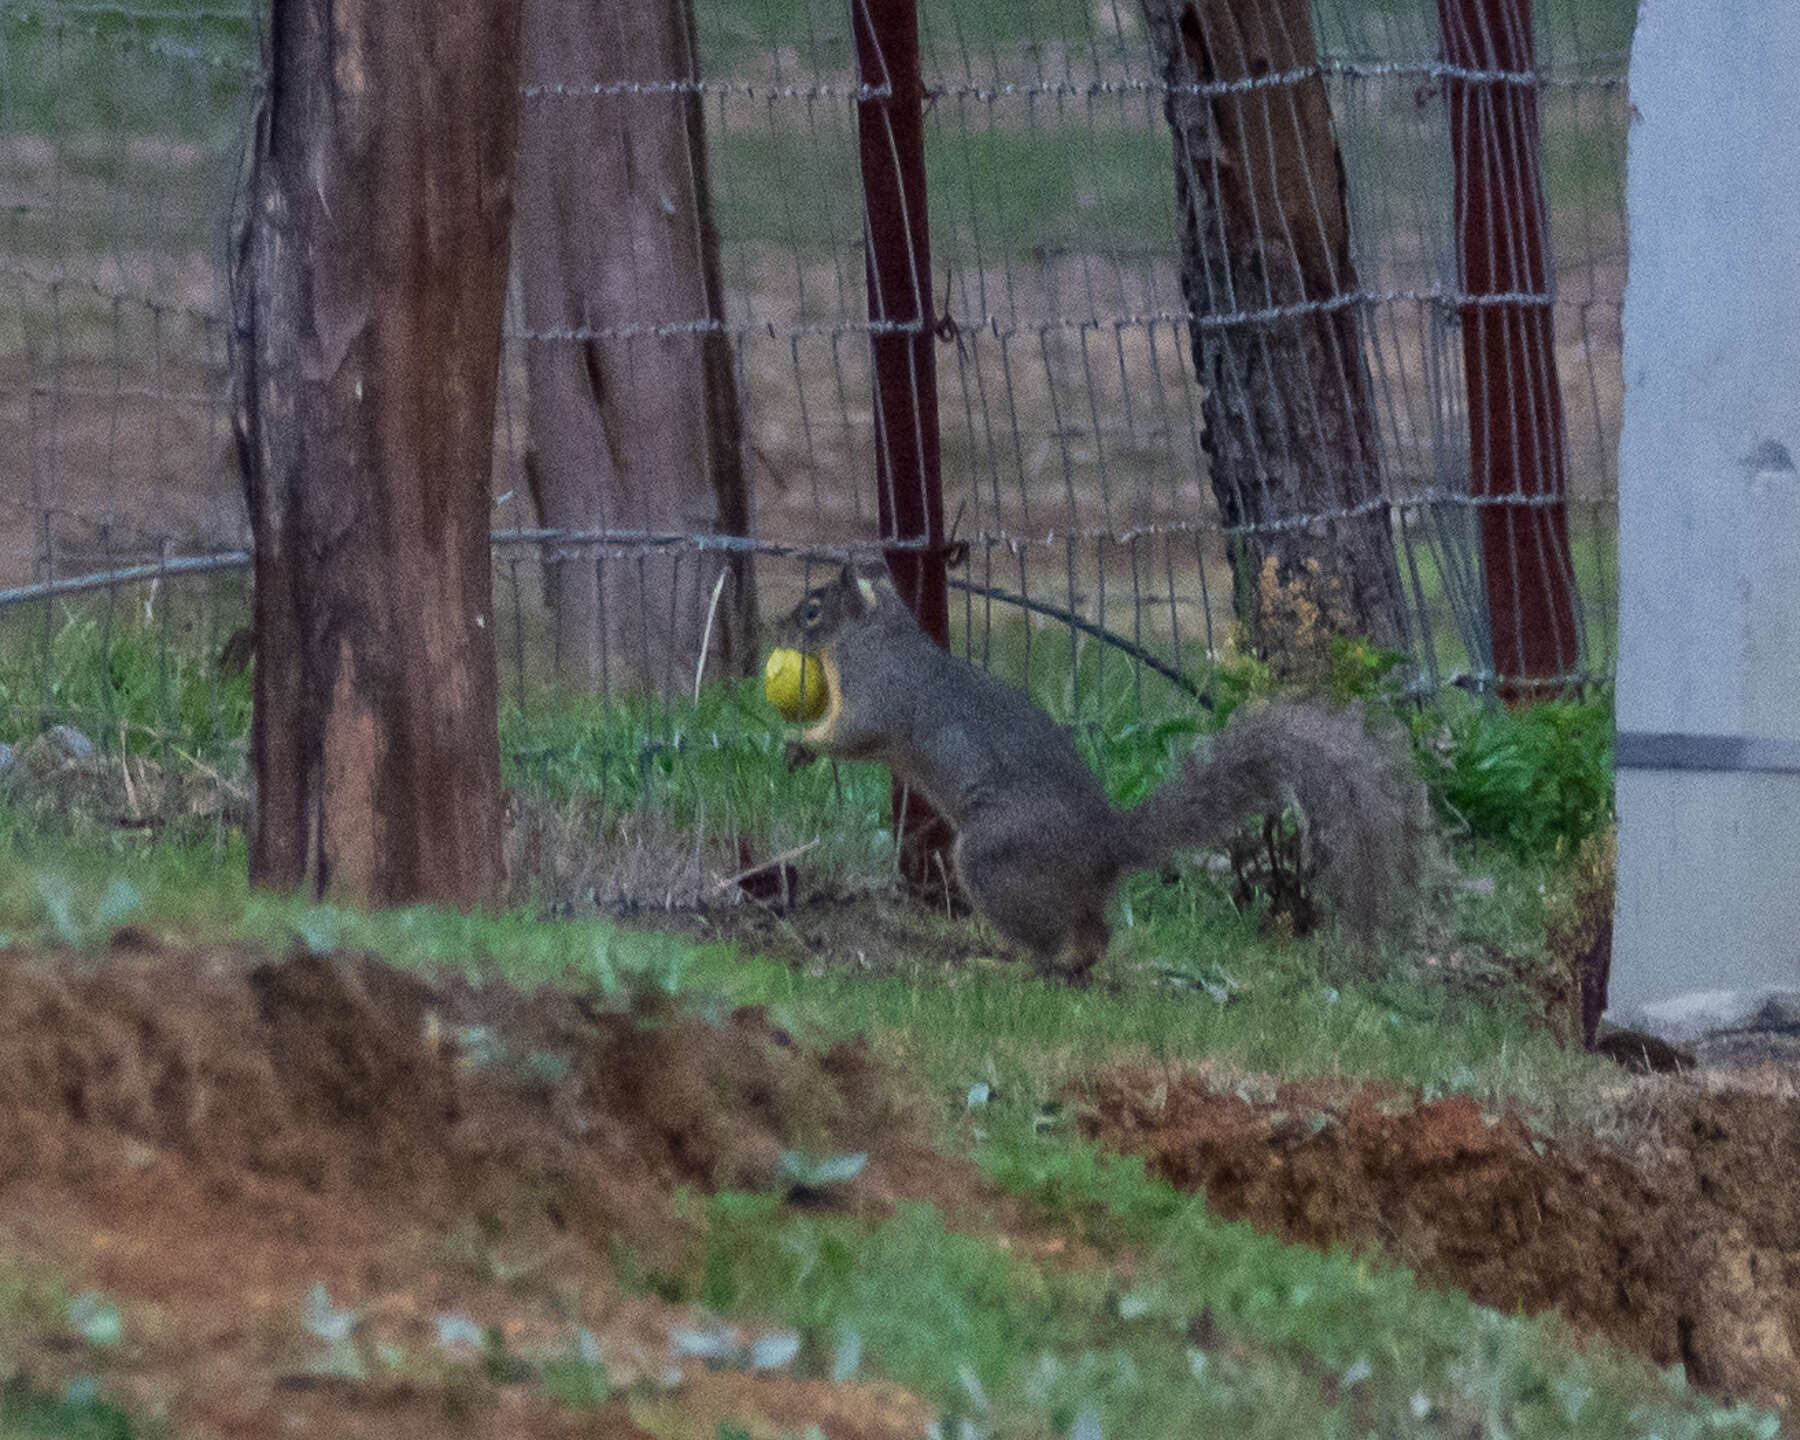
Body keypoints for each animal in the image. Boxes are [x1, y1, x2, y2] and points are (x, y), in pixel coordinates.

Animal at [781, 558, 1425, 979]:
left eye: (812, 610)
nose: (777, 627)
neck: (875, 635)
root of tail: (1106, 844)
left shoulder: (880, 695)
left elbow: (855, 733)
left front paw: (801, 742)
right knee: (1096, 934)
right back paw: (1071, 963)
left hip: (997, 858)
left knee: (1045, 938)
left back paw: (1010, 964)